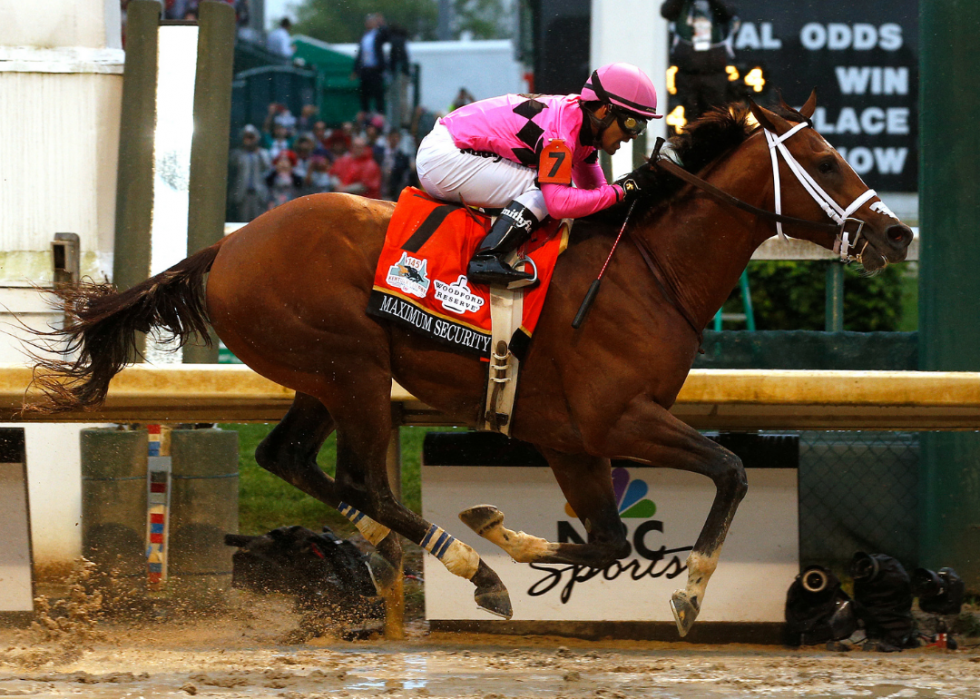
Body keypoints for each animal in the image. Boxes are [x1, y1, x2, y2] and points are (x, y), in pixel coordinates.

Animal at [36, 95, 912, 636]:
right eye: (826, 162)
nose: (897, 234)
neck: (648, 271)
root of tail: (228, 244)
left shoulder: (571, 438)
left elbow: (605, 542)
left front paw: (504, 533)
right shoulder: (618, 418)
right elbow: (728, 471)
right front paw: (689, 593)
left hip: (320, 378)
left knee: (291, 458)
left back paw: (408, 555)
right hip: (352, 368)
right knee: (357, 477)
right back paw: (461, 566)